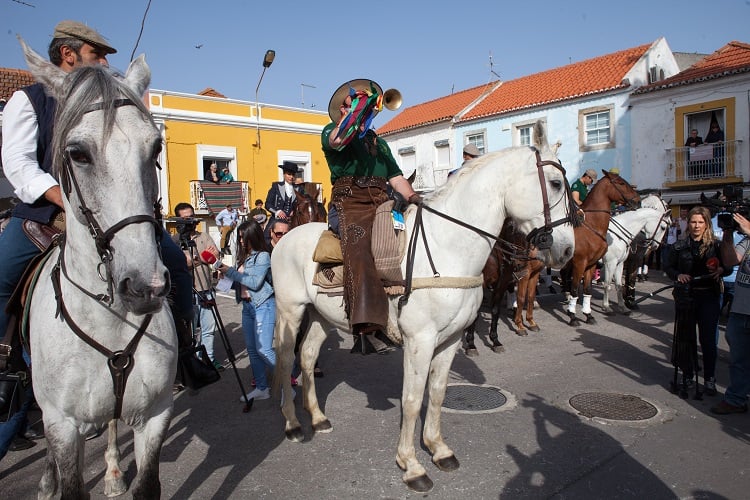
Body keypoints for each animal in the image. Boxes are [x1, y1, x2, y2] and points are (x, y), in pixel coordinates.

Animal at [20, 40, 176, 500]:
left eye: (155, 148)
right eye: (77, 153)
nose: (145, 287)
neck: (111, 319)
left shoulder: (156, 415)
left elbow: (147, 484)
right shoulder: (61, 423)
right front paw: (54, 480)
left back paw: (111, 471)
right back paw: (46, 481)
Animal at [274, 124, 580, 492]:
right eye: (556, 183)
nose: (567, 250)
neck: (447, 247)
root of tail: (286, 238)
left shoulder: (449, 340)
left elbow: (436, 394)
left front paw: (438, 448)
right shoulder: (419, 341)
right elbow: (410, 400)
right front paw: (411, 465)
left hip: (322, 317)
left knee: (306, 357)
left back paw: (318, 417)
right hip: (290, 311)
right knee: (285, 359)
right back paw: (292, 424)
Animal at [564, 171, 640, 328]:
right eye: (621, 183)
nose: (638, 201)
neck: (590, 226)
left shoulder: (591, 264)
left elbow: (587, 289)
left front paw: (588, 315)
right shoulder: (579, 263)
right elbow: (575, 289)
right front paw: (573, 317)